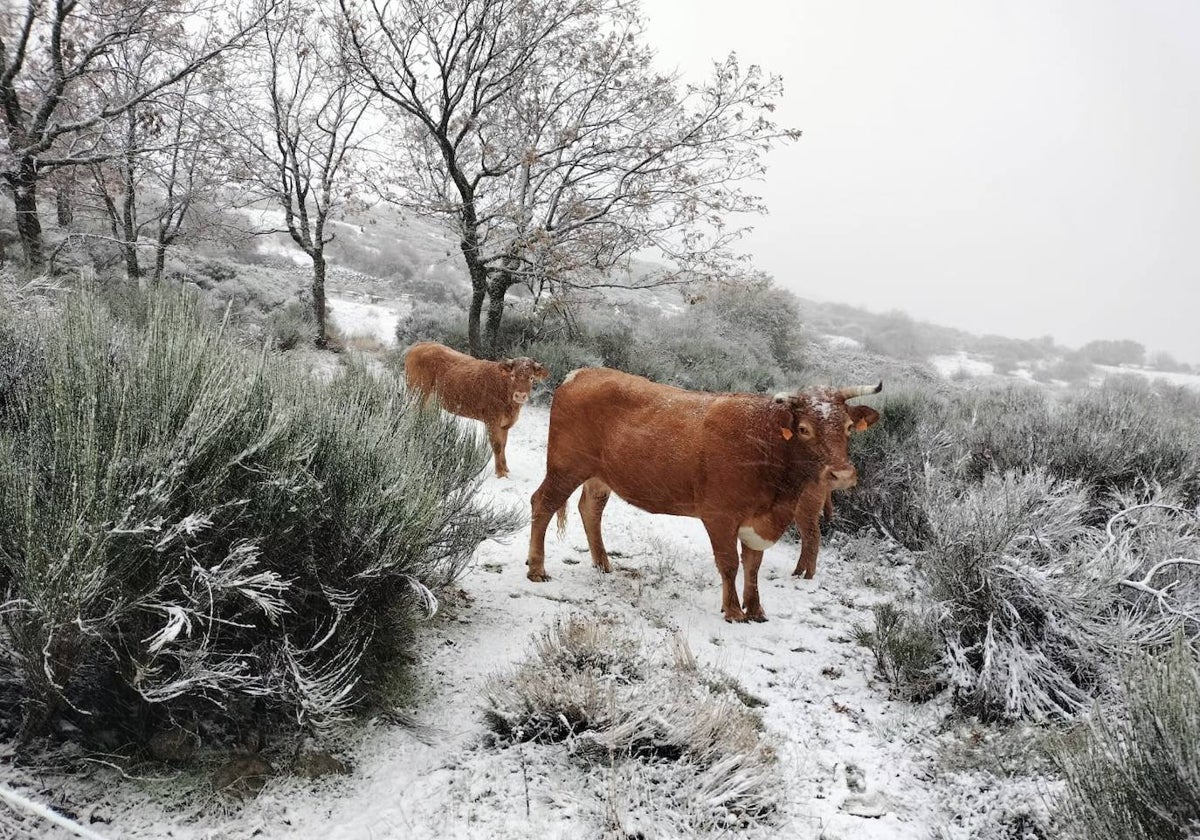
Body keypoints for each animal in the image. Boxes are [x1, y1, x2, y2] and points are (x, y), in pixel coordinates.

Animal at [528, 369, 883, 624]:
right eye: (805, 429)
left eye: (848, 427)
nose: (842, 475)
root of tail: (580, 373)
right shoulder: (720, 515)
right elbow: (729, 564)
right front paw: (734, 611)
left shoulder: (757, 523)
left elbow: (753, 565)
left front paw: (756, 610)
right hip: (566, 466)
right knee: (542, 503)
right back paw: (537, 569)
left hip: (600, 476)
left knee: (590, 509)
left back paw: (603, 563)